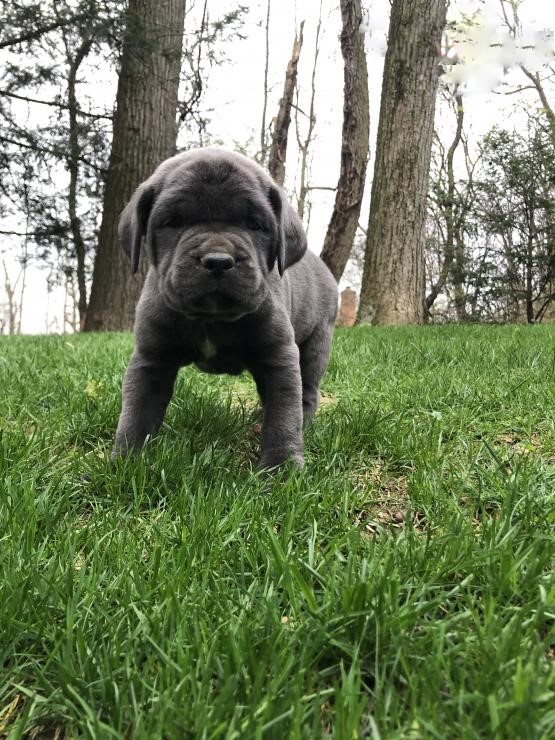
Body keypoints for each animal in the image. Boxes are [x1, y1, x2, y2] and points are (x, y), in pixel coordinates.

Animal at [115, 147, 336, 468]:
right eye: (173, 221)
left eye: (254, 224)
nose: (218, 261)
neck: (212, 319)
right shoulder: (151, 358)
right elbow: (137, 412)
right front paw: (126, 463)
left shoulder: (279, 355)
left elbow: (284, 413)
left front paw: (281, 467)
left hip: (317, 343)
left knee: (306, 391)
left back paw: (303, 421)